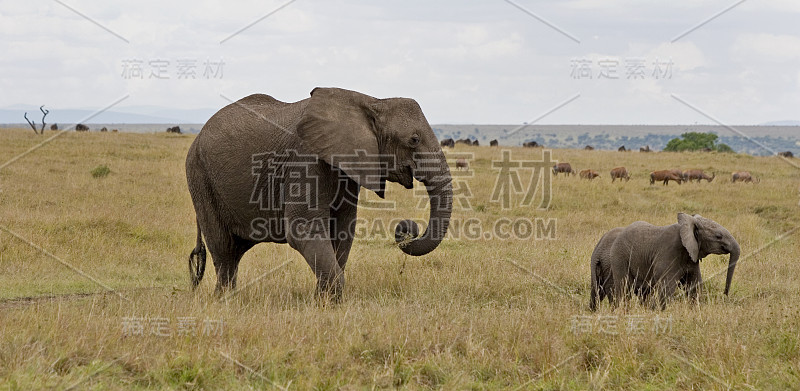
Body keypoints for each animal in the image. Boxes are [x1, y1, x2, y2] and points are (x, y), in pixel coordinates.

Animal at [184, 88, 454, 300]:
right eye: (414, 140)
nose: (406, 228)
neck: (372, 101)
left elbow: (343, 230)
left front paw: (321, 301)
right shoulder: (304, 160)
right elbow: (304, 229)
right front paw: (329, 302)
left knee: (235, 251)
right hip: (199, 176)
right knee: (224, 249)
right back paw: (224, 301)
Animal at [588, 213, 744, 310]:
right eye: (718, 236)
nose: (725, 294)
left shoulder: (691, 256)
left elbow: (694, 286)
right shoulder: (669, 253)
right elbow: (667, 287)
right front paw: (658, 312)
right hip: (619, 258)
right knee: (623, 289)